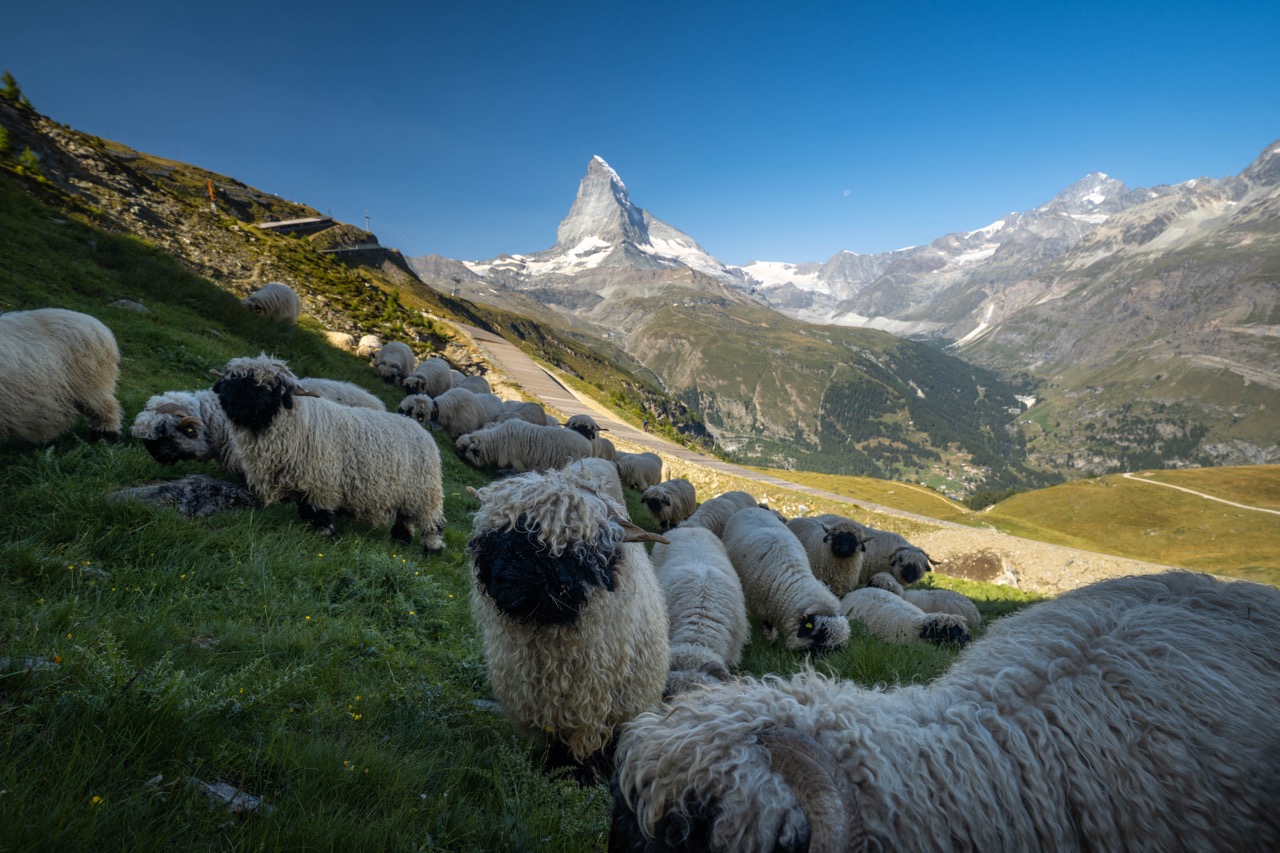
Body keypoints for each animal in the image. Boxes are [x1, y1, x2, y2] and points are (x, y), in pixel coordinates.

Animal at [211, 355, 445, 551]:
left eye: (269, 389)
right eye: (231, 382)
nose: (234, 404)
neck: (299, 425)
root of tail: (419, 429)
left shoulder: (323, 480)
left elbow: (319, 510)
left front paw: (325, 534)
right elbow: (306, 508)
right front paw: (306, 527)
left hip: (425, 491)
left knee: (432, 521)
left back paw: (432, 548)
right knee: (405, 518)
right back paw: (401, 542)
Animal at [455, 418, 592, 474]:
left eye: (464, 448)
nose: (456, 455)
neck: (498, 440)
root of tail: (588, 444)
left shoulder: (517, 459)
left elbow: (516, 470)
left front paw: (503, 472)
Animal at [721, 507, 850, 653]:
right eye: (819, 636)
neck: (791, 578)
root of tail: (752, 508)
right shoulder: (761, 605)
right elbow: (768, 625)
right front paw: (771, 640)